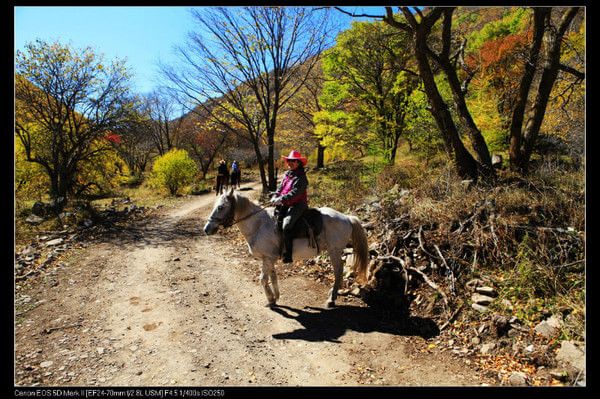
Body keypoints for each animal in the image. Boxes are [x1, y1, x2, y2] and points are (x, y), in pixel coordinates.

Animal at [204, 189, 368, 308]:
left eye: (220, 207)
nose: (206, 229)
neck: (258, 225)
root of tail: (347, 217)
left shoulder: (268, 258)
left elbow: (263, 279)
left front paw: (270, 300)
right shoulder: (268, 259)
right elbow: (273, 277)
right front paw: (275, 297)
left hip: (334, 251)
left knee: (338, 271)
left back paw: (331, 299)